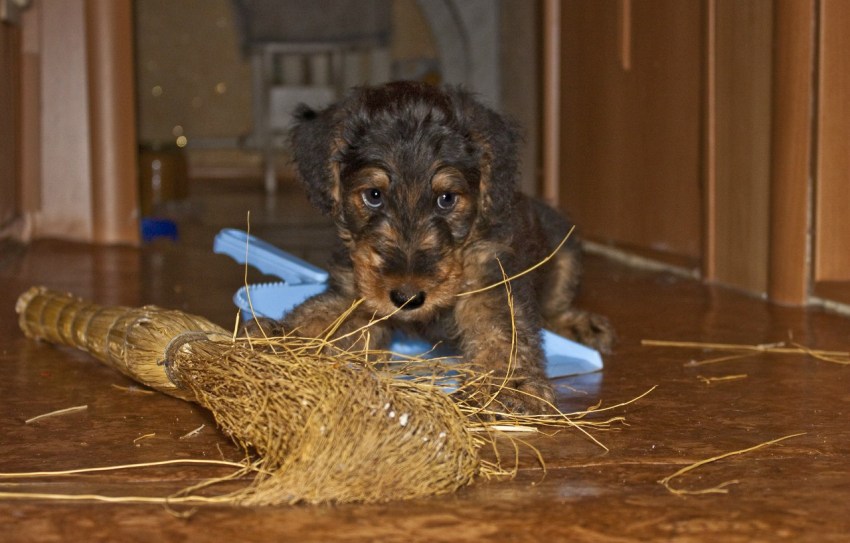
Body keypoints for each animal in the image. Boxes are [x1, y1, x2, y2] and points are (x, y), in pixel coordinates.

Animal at [264, 81, 608, 412]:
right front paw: (278, 340)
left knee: (556, 303)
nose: (407, 297)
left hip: (564, 248)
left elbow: (500, 330)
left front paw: (508, 385)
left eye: (447, 199)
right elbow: (325, 316)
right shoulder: (357, 288)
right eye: (373, 195)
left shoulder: (489, 278)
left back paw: (582, 326)